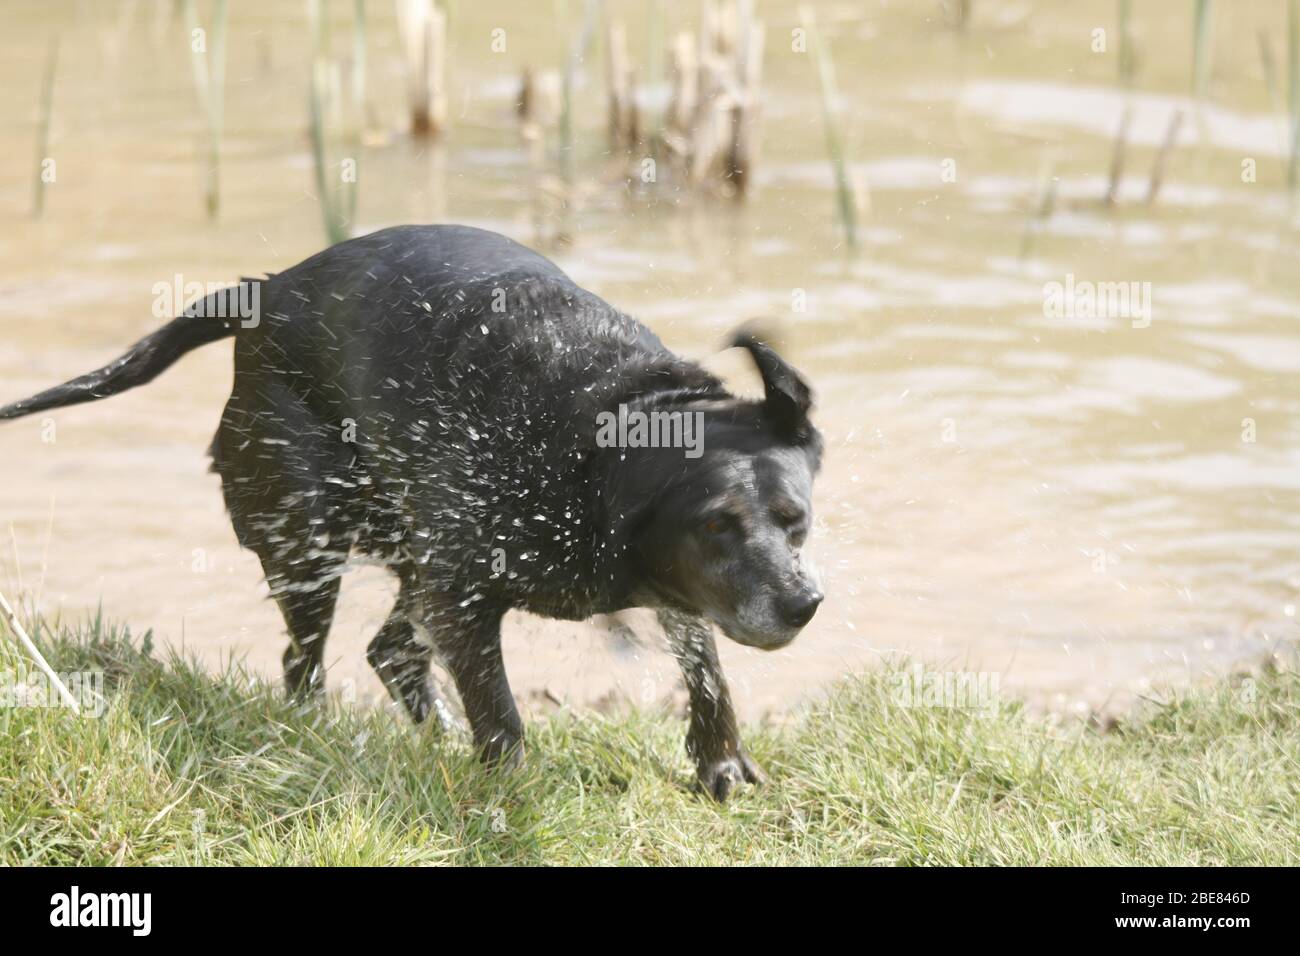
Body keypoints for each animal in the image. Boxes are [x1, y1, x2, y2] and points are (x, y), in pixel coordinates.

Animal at [0, 226, 821, 801]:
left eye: (797, 519)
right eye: (715, 523)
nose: (802, 603)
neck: (606, 446)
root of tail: (265, 295)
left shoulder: (659, 590)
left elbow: (705, 665)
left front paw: (721, 760)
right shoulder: (463, 592)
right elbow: (501, 714)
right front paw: (508, 798)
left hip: (403, 549)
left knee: (388, 650)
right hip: (305, 537)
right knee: (306, 663)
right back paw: (320, 735)